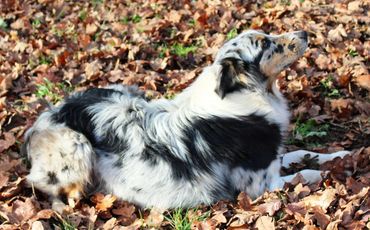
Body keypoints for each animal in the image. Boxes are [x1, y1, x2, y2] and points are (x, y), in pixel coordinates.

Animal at [23, 29, 350, 211]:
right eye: (266, 44)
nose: (305, 33)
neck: (249, 94)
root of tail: (47, 115)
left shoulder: (273, 157)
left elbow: (304, 153)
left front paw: (339, 155)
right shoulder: (261, 184)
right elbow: (305, 175)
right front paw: (335, 173)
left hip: (124, 91)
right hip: (76, 145)